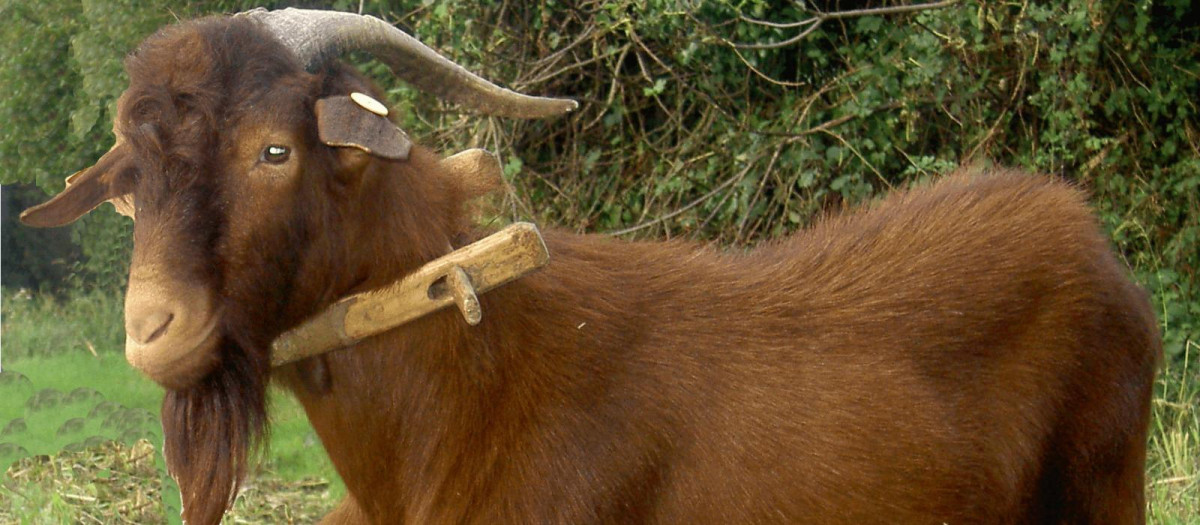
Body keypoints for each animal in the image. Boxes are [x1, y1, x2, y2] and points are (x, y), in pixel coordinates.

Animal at [20, 8, 1160, 525]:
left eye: (274, 150)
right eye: (130, 176)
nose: (152, 330)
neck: (462, 385)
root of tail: (1087, 232)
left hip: (1104, 485)